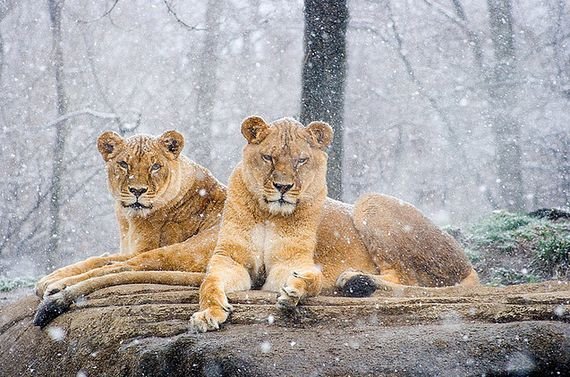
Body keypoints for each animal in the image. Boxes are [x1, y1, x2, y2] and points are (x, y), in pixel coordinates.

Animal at [189, 116, 478, 330]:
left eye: (301, 160)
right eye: (268, 157)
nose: (283, 187)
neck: (270, 214)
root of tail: (467, 263)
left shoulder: (290, 262)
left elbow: (306, 278)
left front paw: (296, 290)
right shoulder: (230, 259)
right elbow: (209, 283)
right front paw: (209, 313)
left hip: (369, 201)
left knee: (408, 278)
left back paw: (354, 280)